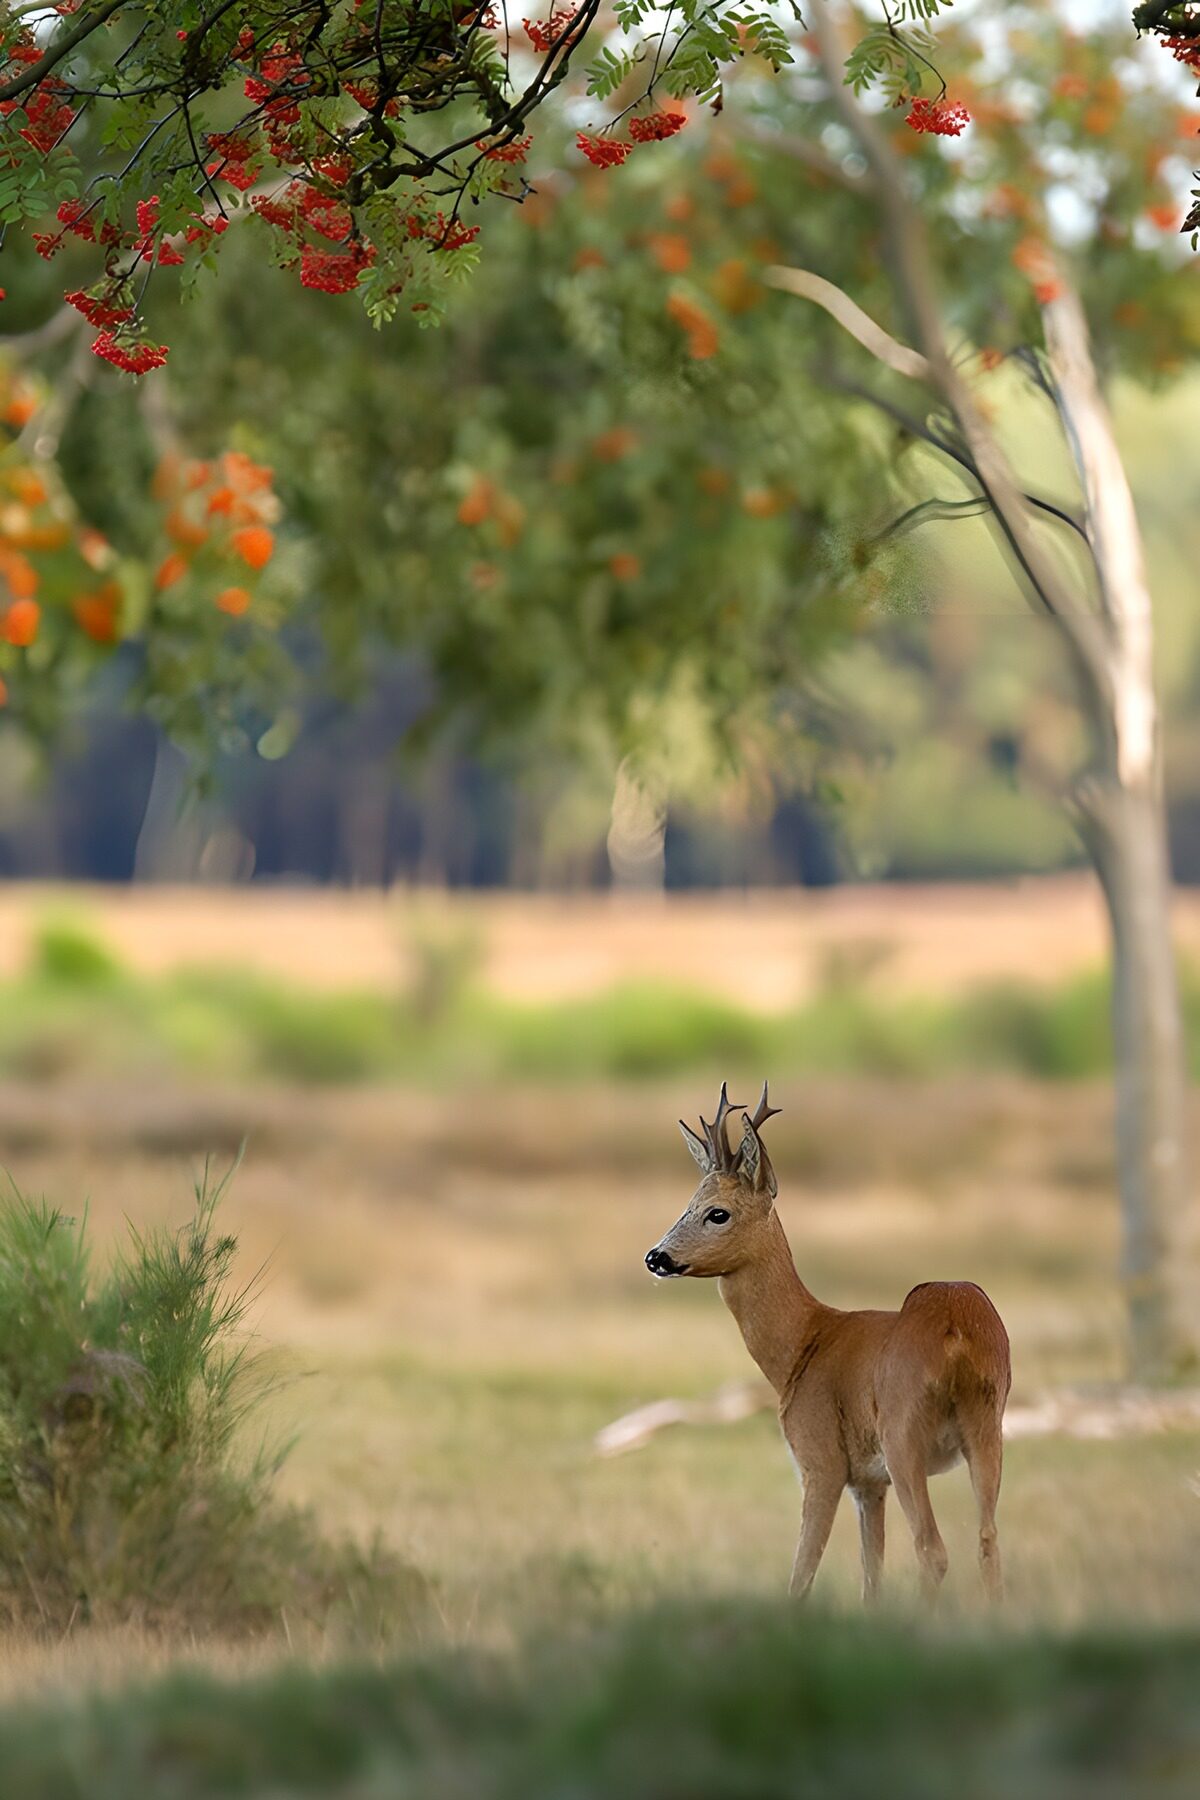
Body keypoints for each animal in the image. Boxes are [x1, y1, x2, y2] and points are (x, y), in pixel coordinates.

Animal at [644, 1083, 1011, 1606]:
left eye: (718, 1213)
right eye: (686, 1204)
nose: (656, 1257)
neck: (804, 1344)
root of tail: (955, 1329)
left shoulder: (821, 1460)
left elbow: (801, 1576)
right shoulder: (869, 1482)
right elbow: (871, 1574)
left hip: (903, 1434)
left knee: (933, 1549)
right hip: (987, 1425)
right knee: (988, 1541)